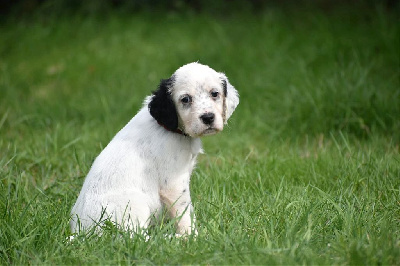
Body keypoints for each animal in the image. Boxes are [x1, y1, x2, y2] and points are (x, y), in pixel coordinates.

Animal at [70, 61, 239, 235]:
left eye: (215, 93)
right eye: (185, 99)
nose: (208, 117)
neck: (170, 128)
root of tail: (82, 232)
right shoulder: (174, 184)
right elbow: (185, 214)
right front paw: (192, 236)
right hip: (136, 203)